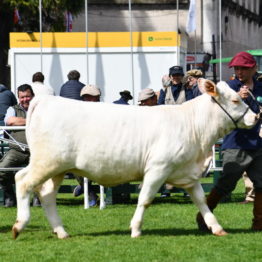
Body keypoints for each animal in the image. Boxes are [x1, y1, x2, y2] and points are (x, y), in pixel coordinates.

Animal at [12, 80, 258, 239]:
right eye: (236, 99)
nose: (256, 116)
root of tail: (44, 100)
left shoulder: (187, 174)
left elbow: (201, 200)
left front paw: (217, 228)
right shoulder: (158, 168)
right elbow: (145, 199)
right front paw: (136, 230)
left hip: (58, 169)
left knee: (46, 194)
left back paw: (61, 231)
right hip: (46, 162)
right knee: (22, 181)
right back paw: (19, 226)